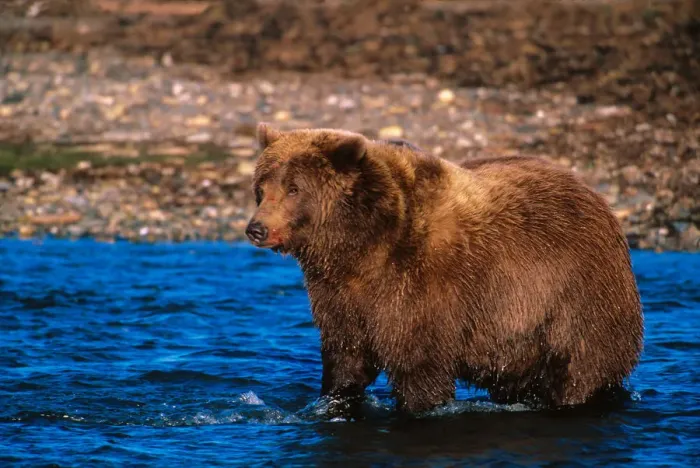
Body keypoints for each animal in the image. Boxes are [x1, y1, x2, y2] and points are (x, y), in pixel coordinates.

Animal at [245, 122, 644, 414]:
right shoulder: (340, 295)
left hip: (575, 299)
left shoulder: (422, 287)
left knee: (579, 370)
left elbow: (419, 367)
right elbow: (346, 358)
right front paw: (333, 401)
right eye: (261, 187)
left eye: (294, 187)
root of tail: (598, 198)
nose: (256, 228)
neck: (361, 246)